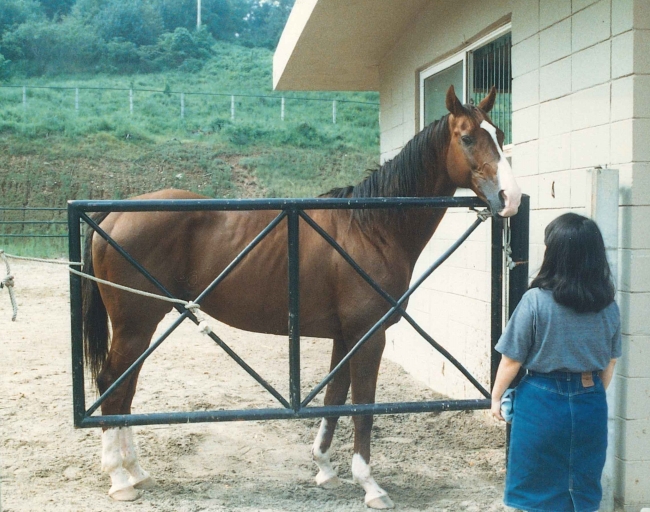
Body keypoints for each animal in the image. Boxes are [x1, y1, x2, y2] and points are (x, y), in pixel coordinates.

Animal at [81, 86, 520, 506]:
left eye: (499, 136)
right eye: (467, 137)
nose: (510, 198)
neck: (371, 228)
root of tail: (114, 214)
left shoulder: (345, 337)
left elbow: (335, 398)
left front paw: (325, 467)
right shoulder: (368, 336)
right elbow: (363, 408)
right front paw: (371, 486)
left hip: (141, 329)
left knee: (125, 389)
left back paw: (136, 471)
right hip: (135, 326)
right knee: (112, 384)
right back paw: (119, 479)